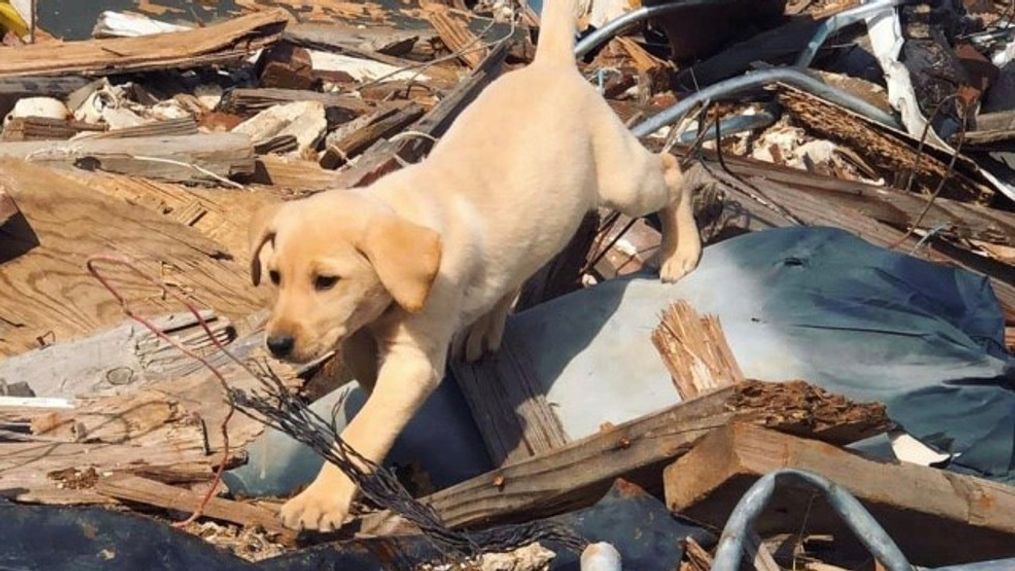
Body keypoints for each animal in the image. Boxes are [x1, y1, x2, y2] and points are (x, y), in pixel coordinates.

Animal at [249, 0, 702, 531]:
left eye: (326, 281)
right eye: (275, 277)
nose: (277, 345)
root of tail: (552, 65)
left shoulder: (414, 359)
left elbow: (365, 426)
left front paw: (320, 500)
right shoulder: (359, 336)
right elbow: (368, 395)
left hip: (624, 181)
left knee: (671, 172)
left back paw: (680, 251)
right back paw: (485, 329)